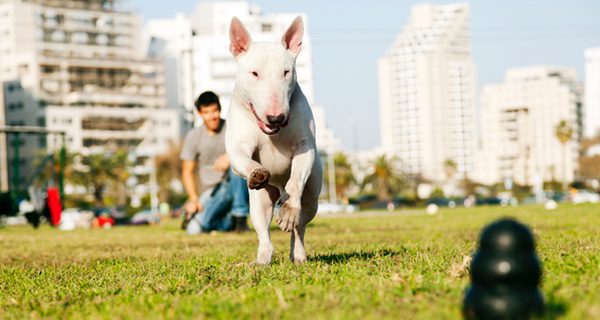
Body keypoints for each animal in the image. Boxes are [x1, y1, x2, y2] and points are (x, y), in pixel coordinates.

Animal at [225, 16, 322, 264]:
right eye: (254, 73)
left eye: (286, 72)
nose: (276, 117)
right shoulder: (237, 146)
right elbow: (243, 158)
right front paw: (257, 173)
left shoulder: (304, 147)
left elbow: (295, 180)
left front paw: (287, 211)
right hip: (260, 201)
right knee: (263, 229)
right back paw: (262, 260)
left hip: (312, 197)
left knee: (300, 226)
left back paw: (298, 253)